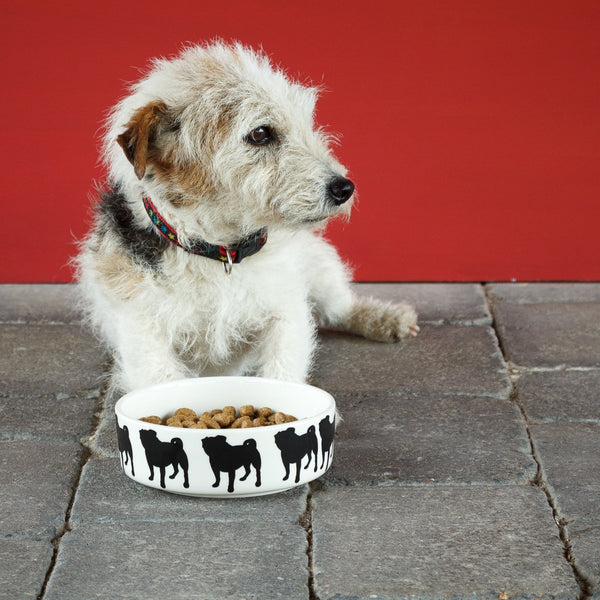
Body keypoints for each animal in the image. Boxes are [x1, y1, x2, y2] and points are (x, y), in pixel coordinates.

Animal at [76, 39, 418, 392]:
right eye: (260, 133)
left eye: (305, 123)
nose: (344, 188)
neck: (220, 251)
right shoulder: (143, 336)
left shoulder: (287, 313)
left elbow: (282, 370)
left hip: (319, 269)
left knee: (341, 307)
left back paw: (388, 319)